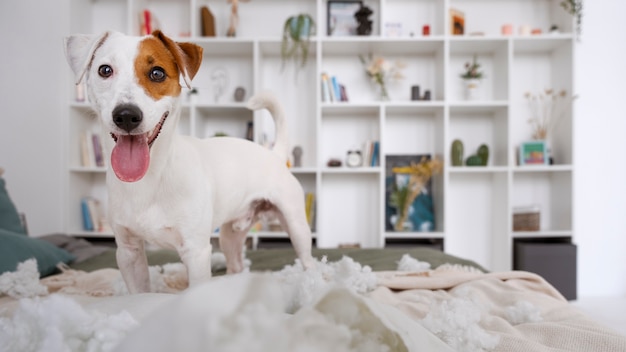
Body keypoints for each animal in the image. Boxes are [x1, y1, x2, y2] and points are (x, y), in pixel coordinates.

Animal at [63, 30, 312, 292]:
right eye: (105, 70)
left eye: (157, 73)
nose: (126, 115)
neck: (152, 176)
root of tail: (274, 154)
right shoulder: (128, 252)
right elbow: (138, 291)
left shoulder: (196, 252)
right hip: (230, 235)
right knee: (236, 265)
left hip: (296, 226)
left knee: (308, 260)